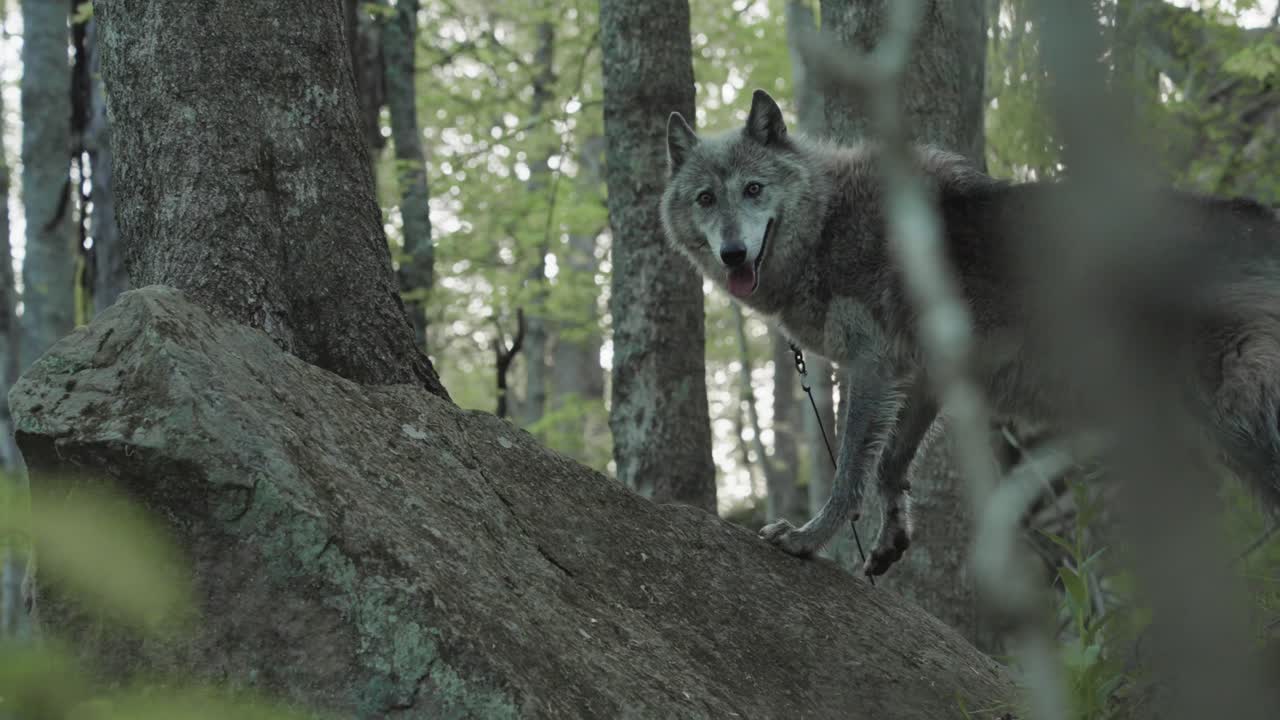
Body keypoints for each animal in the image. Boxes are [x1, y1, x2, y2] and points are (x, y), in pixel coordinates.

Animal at [659, 88, 1280, 577]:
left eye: (754, 189)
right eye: (706, 199)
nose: (732, 253)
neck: (829, 222)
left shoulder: (871, 367)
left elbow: (849, 473)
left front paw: (809, 540)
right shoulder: (922, 376)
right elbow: (889, 467)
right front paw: (891, 538)